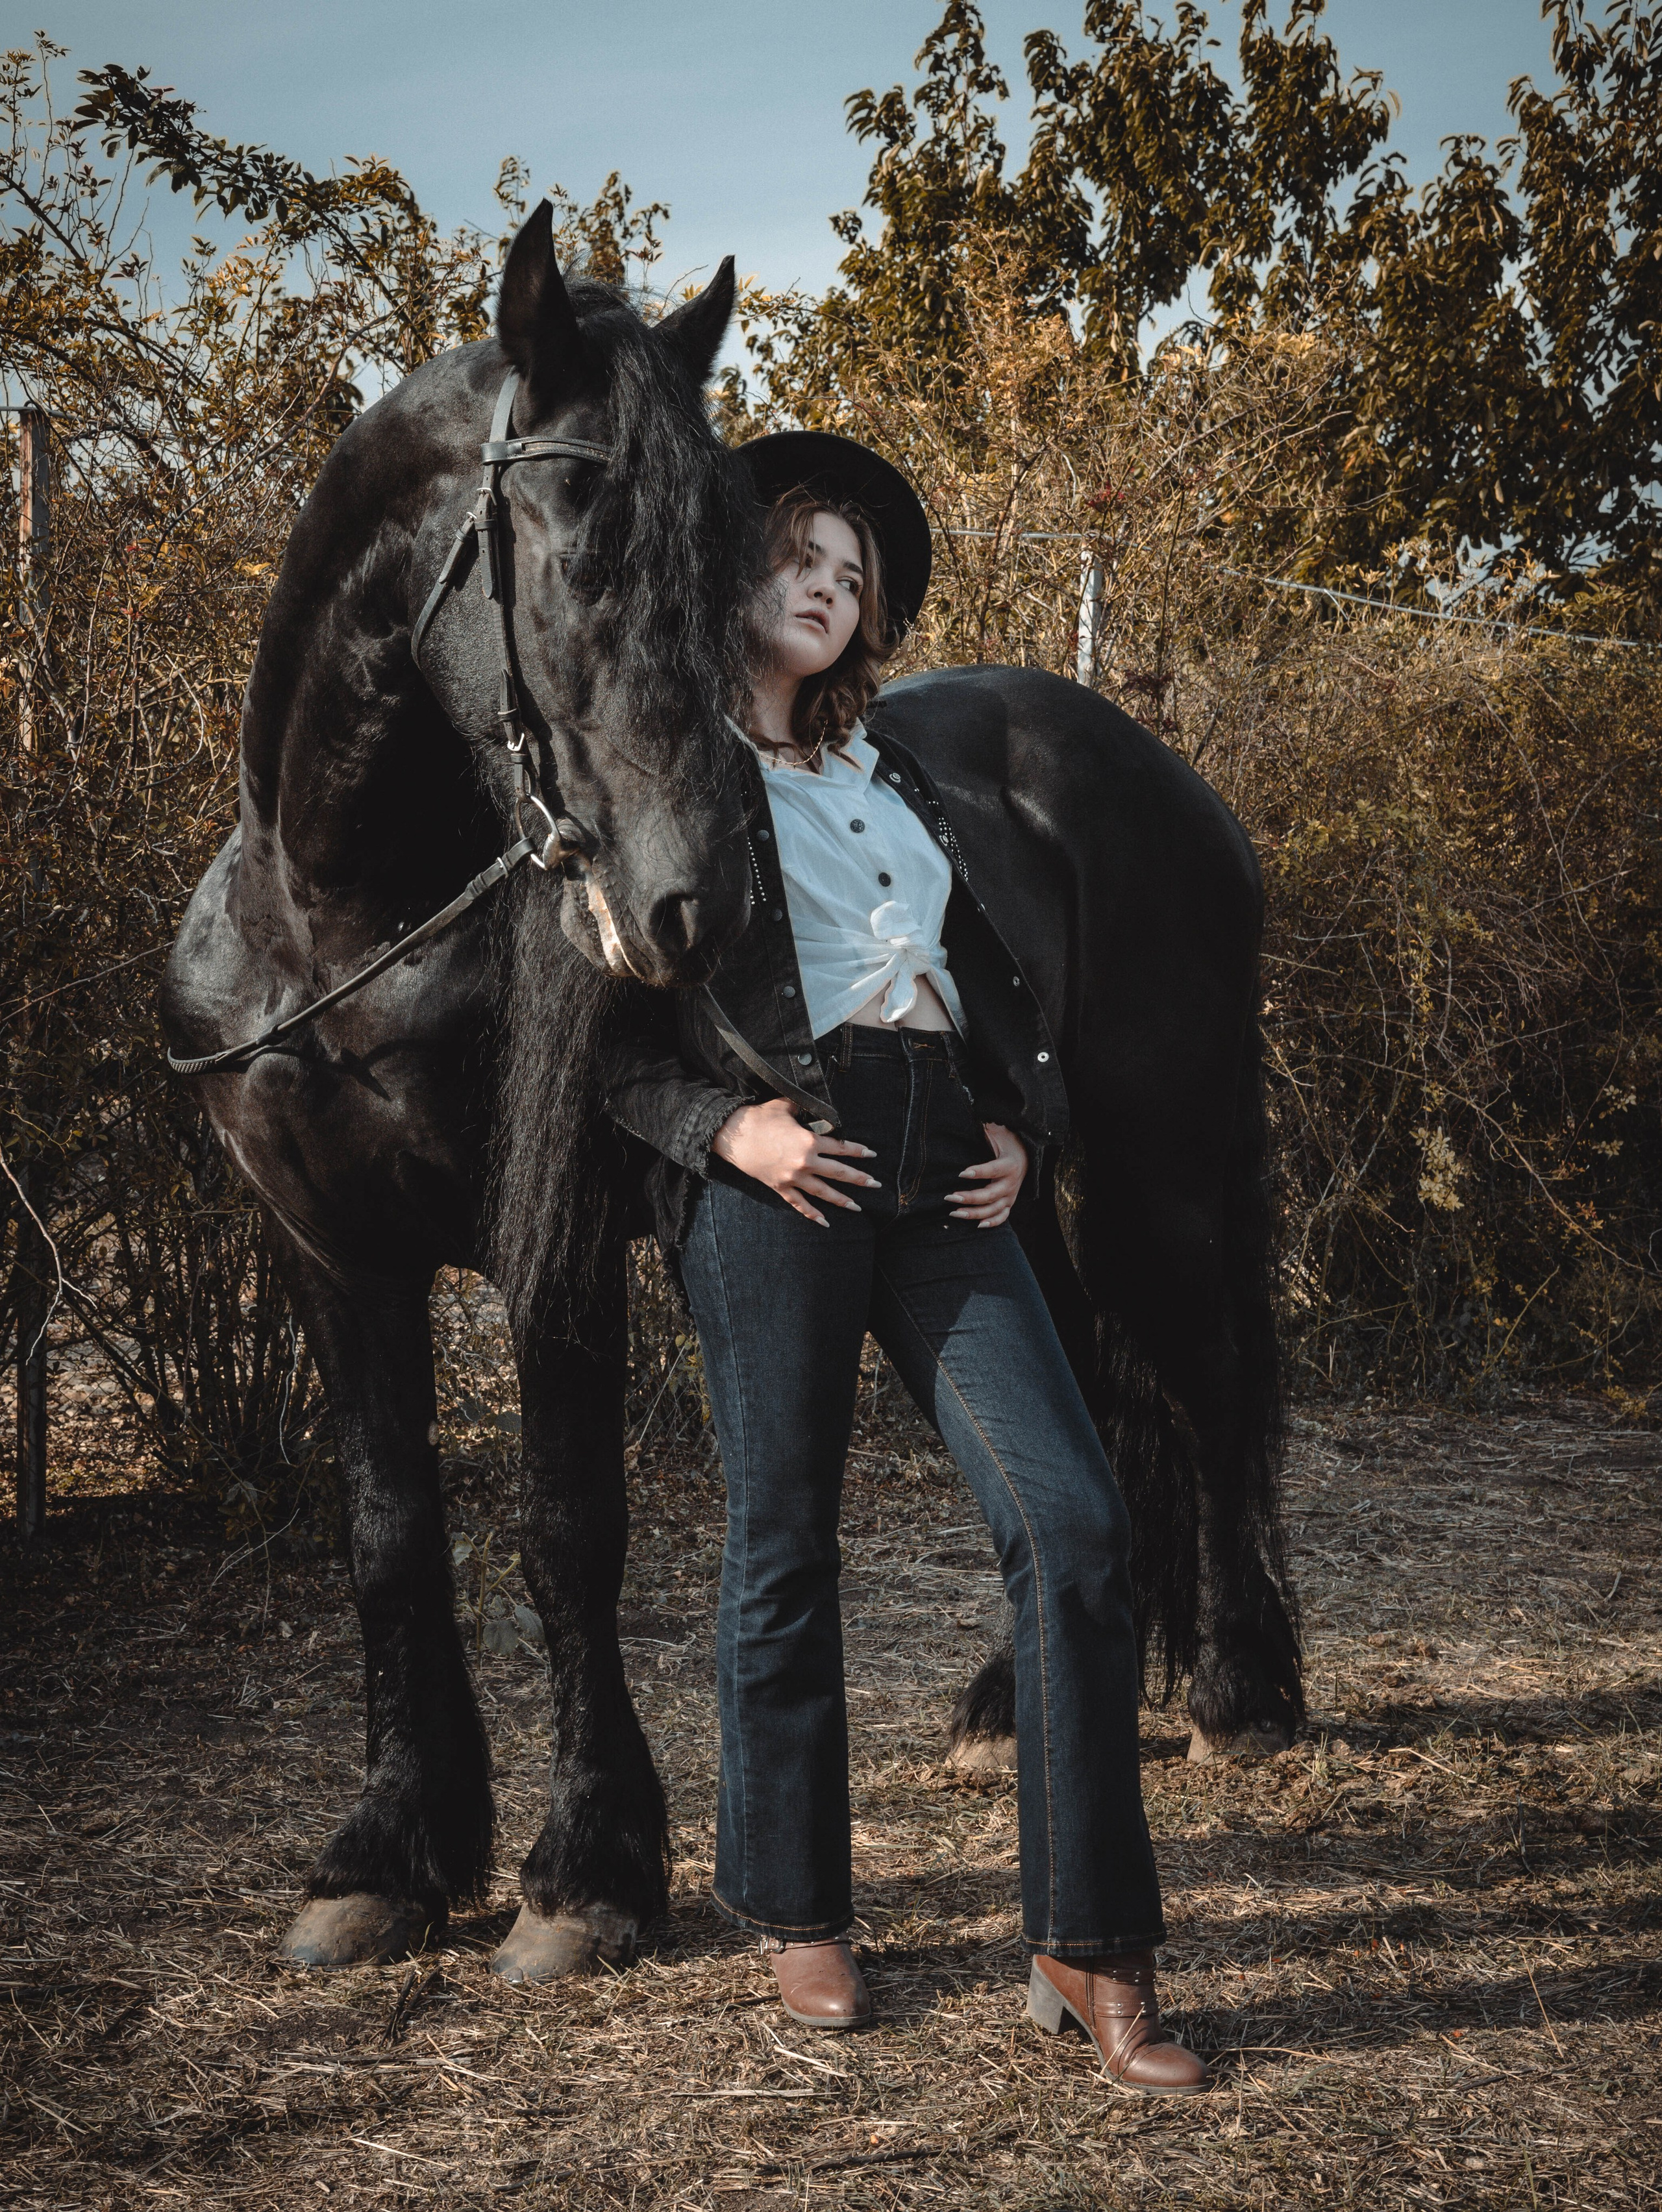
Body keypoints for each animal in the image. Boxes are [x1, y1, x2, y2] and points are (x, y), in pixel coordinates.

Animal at [162, 205, 1302, 1985]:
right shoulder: (336, 1259)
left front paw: (584, 1869)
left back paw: (1243, 1687)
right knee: (1084, 1403)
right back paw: (1019, 1701)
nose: (695, 898)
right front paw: (390, 1850)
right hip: (1011, 1190)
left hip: (1159, 1161)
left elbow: (566, 1528)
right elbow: (387, 1533)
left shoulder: (550, 1254)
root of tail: (1152, 765)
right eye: (577, 547)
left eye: (724, 573)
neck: (337, 922)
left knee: (1207, 1376)